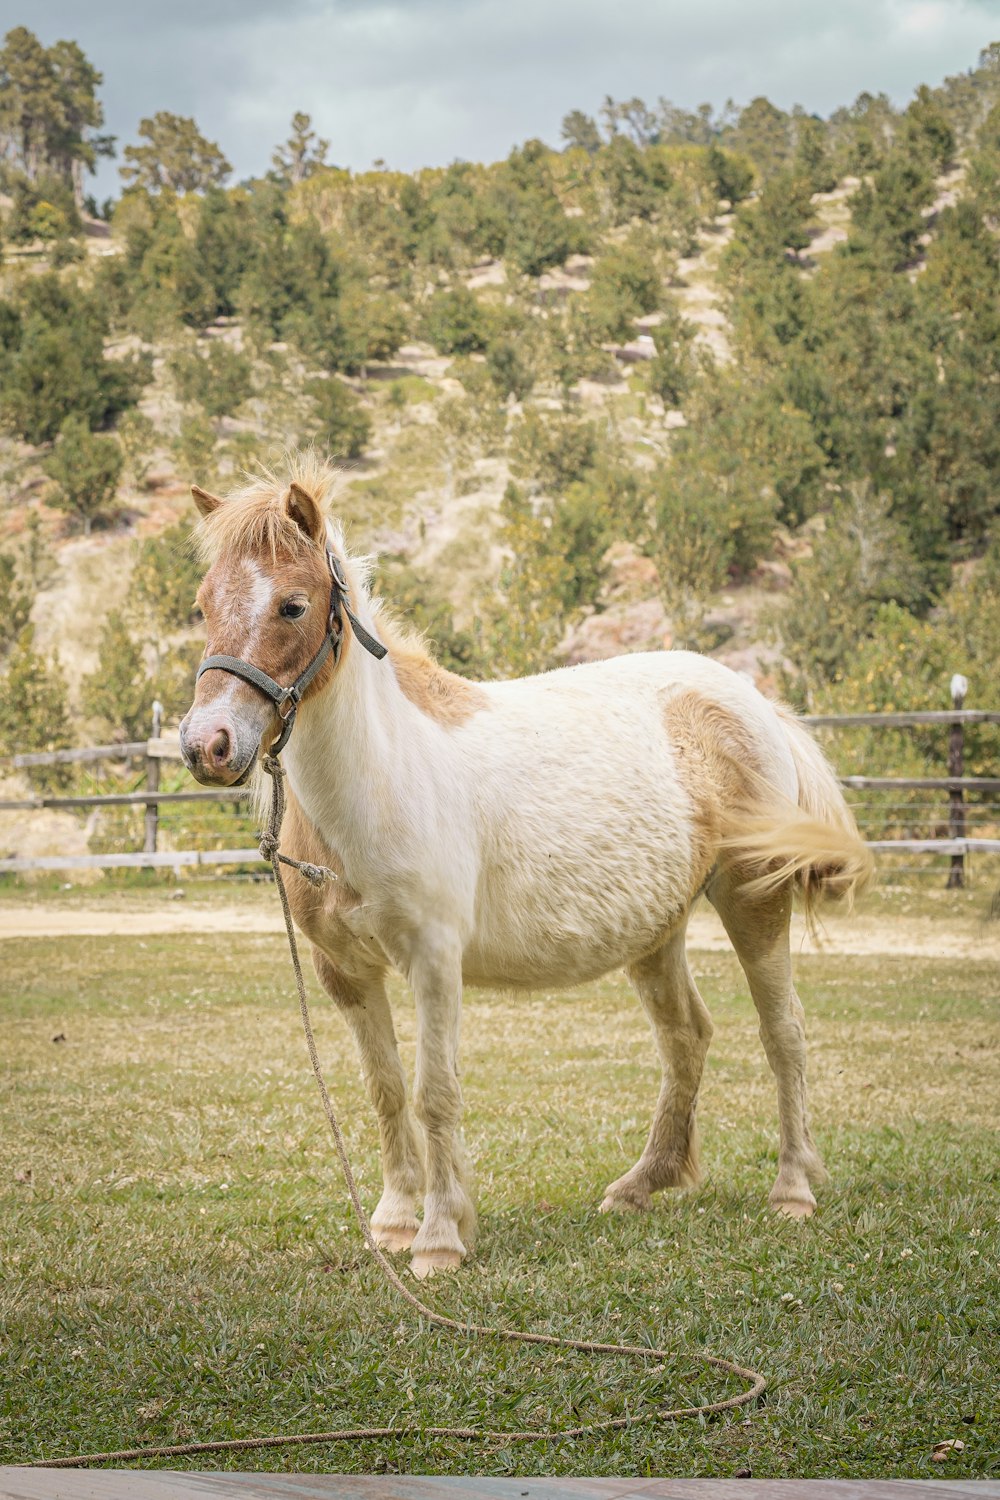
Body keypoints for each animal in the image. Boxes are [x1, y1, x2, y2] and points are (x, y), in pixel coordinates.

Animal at [183, 456, 869, 1278]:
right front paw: (394, 1222)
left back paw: (793, 1191)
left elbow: (434, 1092)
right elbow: (385, 1091)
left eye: (292, 605)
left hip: (752, 901)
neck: (380, 778)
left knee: (782, 1034)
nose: (208, 745)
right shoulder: (344, 972)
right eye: (202, 604)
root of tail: (753, 703)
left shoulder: (433, 960)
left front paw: (439, 1240)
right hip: (655, 931)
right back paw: (640, 1186)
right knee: (686, 1038)